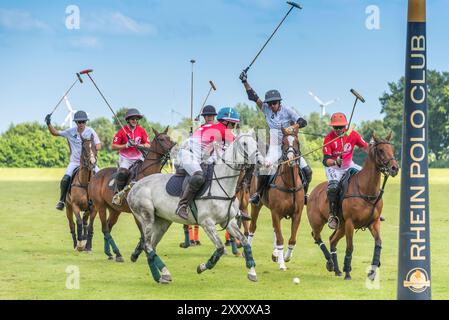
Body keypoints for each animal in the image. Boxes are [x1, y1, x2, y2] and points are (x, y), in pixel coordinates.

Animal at [86, 126, 175, 262]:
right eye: (161, 139)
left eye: (169, 137)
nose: (173, 147)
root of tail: (95, 175)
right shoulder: (136, 213)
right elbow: (143, 234)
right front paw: (138, 253)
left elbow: (148, 234)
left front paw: (140, 251)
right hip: (100, 205)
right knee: (105, 229)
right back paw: (117, 253)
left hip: (114, 210)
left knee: (108, 227)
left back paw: (109, 253)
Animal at [126, 134, 264, 284]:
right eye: (244, 144)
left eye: (256, 143)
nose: (261, 161)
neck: (223, 185)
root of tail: (133, 187)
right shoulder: (206, 222)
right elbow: (220, 248)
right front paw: (202, 267)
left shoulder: (229, 221)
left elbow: (245, 243)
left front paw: (252, 272)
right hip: (146, 216)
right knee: (148, 245)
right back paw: (165, 272)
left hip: (163, 221)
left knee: (151, 245)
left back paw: (159, 276)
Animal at [245, 124, 304, 270]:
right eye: (283, 143)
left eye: (297, 142)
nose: (290, 159)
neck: (289, 185)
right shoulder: (276, 212)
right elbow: (280, 238)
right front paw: (282, 264)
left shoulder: (297, 213)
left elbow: (292, 239)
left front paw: (286, 257)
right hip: (256, 205)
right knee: (252, 227)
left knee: (274, 230)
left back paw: (276, 254)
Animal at [306, 132, 398, 280]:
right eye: (380, 150)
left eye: (392, 149)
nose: (395, 168)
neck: (366, 190)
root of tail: (312, 192)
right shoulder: (350, 222)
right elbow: (350, 247)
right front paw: (348, 272)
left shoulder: (374, 222)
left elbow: (378, 243)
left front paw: (372, 271)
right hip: (317, 221)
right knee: (316, 236)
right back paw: (331, 263)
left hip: (341, 226)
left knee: (332, 240)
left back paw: (337, 270)